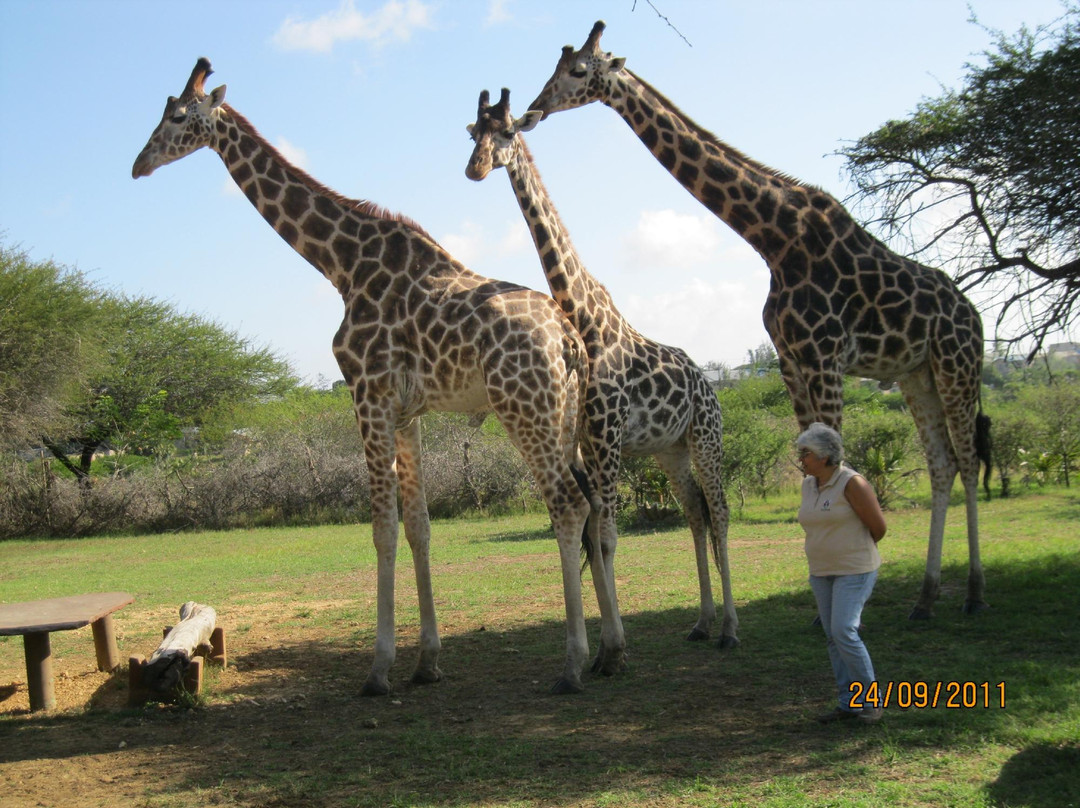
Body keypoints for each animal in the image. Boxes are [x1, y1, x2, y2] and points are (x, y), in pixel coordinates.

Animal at [130, 58, 596, 695]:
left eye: (177, 116)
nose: (138, 164)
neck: (341, 266)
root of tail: (568, 337)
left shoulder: (366, 394)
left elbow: (381, 528)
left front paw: (378, 669)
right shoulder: (407, 412)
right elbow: (419, 526)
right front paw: (427, 661)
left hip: (523, 407)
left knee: (567, 505)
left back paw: (573, 665)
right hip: (566, 412)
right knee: (592, 504)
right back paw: (612, 651)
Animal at [468, 90, 738, 669]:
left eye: (507, 133)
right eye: (473, 133)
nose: (474, 168)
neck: (585, 319)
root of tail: (709, 385)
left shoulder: (608, 437)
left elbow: (608, 539)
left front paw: (612, 653)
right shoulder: (587, 442)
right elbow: (593, 535)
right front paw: (601, 650)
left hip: (706, 437)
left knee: (722, 511)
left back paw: (729, 628)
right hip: (670, 450)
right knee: (695, 513)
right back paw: (702, 623)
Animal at [527, 23, 989, 617]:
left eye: (579, 70)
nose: (535, 108)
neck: (775, 237)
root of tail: (973, 315)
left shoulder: (824, 355)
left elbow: (835, 458)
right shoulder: (792, 360)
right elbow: (808, 460)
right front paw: (821, 606)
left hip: (957, 363)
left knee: (968, 458)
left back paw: (973, 591)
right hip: (917, 374)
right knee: (942, 463)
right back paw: (927, 596)